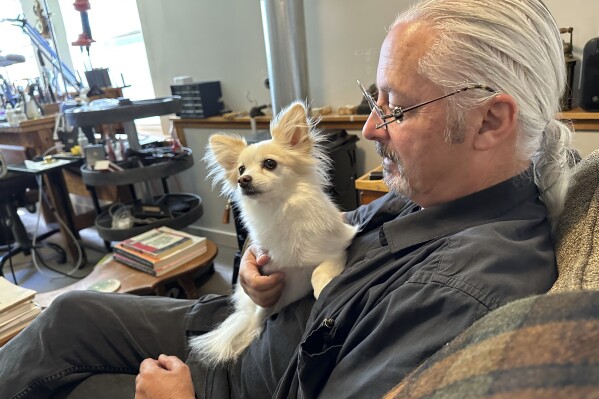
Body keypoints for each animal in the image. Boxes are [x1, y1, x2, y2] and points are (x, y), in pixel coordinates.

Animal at [192, 102, 358, 366]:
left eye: (270, 164)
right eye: (241, 169)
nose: (242, 179)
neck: (279, 210)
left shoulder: (336, 250)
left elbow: (318, 272)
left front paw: (323, 289)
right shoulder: (266, 274)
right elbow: (260, 314)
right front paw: (251, 334)